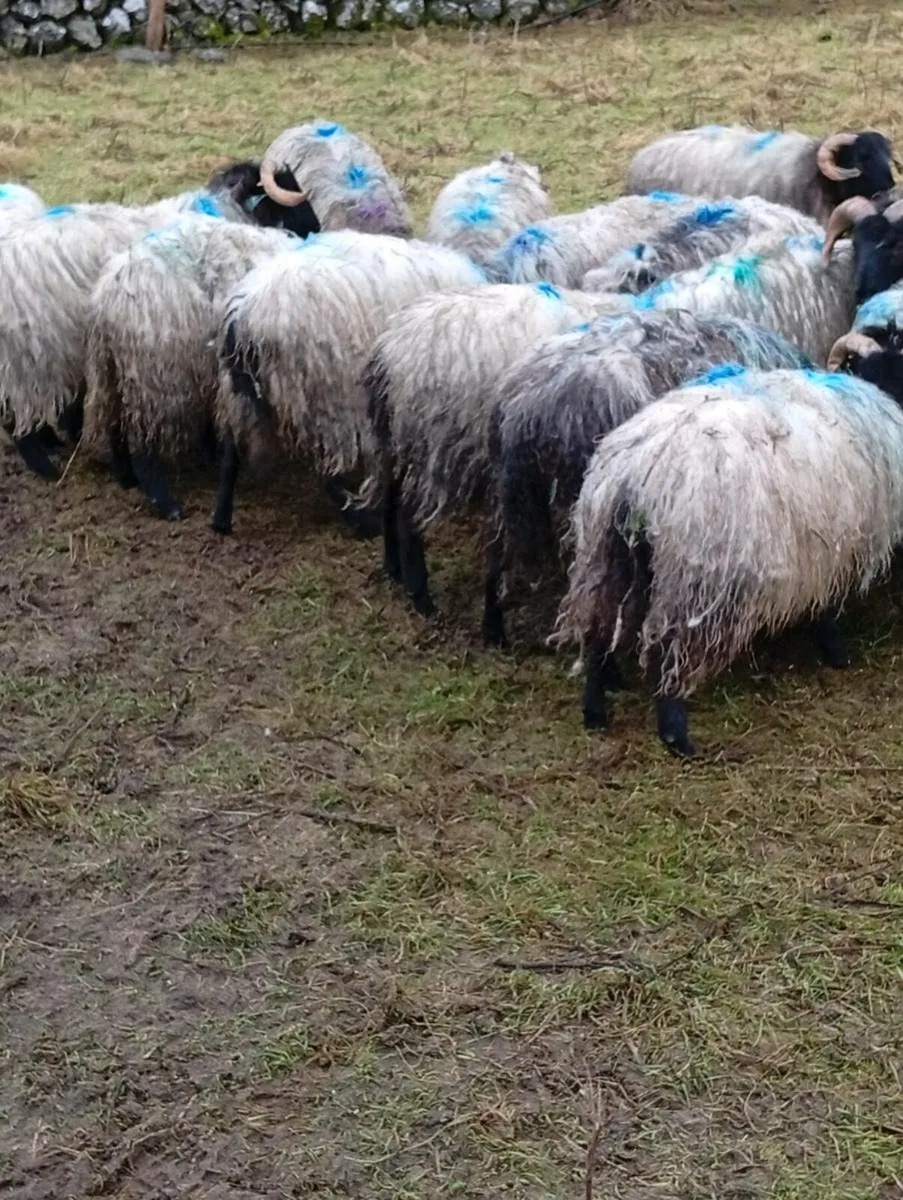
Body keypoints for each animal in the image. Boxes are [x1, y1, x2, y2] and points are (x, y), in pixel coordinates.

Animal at [82, 216, 305, 521]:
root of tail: (106, 299)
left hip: (111, 368)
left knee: (112, 420)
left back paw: (125, 477)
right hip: (154, 374)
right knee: (141, 443)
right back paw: (167, 504)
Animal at [211, 229, 487, 537]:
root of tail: (243, 318)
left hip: (240, 393)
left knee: (231, 449)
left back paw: (221, 519)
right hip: (322, 394)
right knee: (322, 465)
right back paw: (361, 520)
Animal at [363, 281, 623, 620]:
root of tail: (388, 351)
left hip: (398, 439)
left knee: (390, 497)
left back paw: (393, 568)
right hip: (432, 442)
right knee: (408, 513)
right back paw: (421, 598)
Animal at [552, 365, 903, 758]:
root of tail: (633, 477)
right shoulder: (832, 548)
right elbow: (827, 611)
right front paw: (837, 655)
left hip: (605, 559)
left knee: (596, 635)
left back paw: (594, 713)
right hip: (692, 577)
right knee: (666, 652)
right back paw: (676, 736)